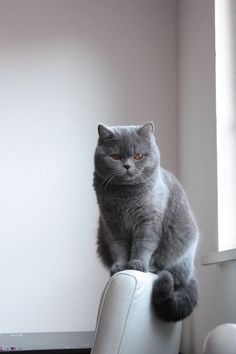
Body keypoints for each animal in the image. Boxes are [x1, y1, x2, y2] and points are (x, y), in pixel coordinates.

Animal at [93, 123, 198, 322]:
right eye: (115, 156)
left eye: (138, 155)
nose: (127, 166)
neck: (125, 196)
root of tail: (190, 273)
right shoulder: (112, 225)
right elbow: (118, 248)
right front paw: (119, 266)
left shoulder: (148, 222)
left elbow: (143, 244)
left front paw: (137, 264)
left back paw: (152, 266)